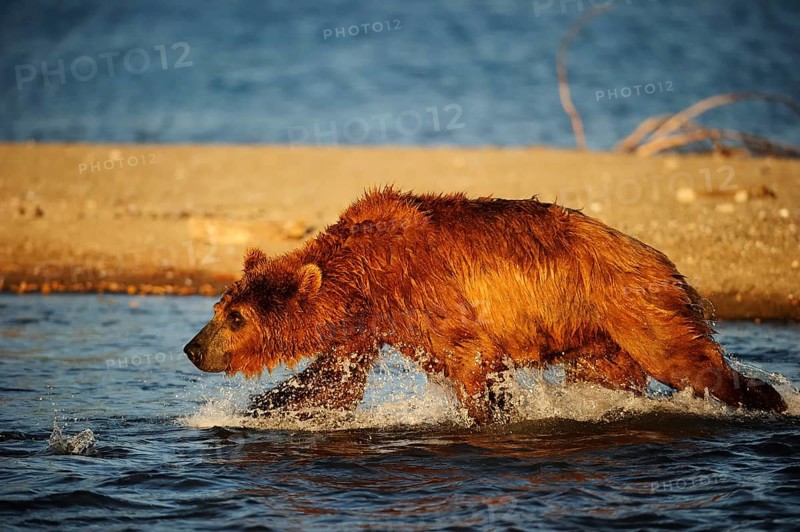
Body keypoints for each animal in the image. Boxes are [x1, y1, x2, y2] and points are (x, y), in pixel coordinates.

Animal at [183, 187, 787, 423]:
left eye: (235, 317)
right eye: (218, 309)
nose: (192, 348)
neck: (364, 279)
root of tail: (660, 256)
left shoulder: (426, 289)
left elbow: (471, 357)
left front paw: (492, 414)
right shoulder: (368, 326)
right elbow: (330, 384)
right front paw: (258, 411)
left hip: (631, 303)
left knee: (682, 358)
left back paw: (765, 398)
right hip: (596, 335)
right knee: (610, 376)